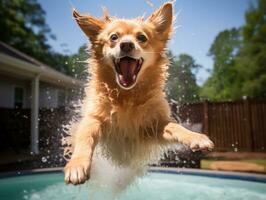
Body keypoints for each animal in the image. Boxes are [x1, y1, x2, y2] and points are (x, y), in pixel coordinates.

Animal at [64, 2, 214, 185]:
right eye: (114, 37)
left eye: (141, 38)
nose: (126, 44)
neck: (127, 96)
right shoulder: (94, 119)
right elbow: (86, 137)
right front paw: (77, 165)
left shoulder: (153, 127)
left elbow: (175, 127)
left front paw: (195, 137)